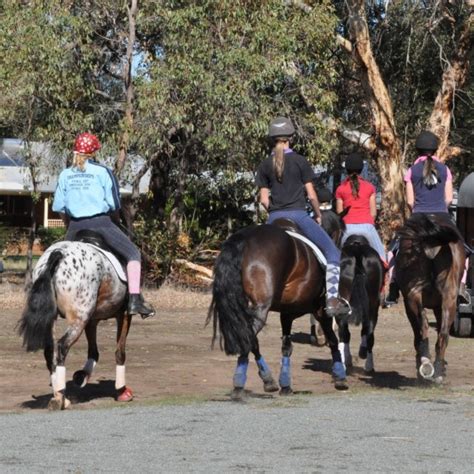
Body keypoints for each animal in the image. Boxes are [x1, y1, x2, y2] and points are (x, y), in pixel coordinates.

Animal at [18, 239, 135, 410]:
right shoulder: (124, 315)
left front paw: (82, 376)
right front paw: (122, 391)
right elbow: (120, 352)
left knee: (50, 350)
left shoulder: (92, 320)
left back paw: (59, 397)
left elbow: (94, 352)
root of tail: (57, 254)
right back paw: (60, 399)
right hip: (78, 319)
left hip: (56, 319)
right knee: (62, 346)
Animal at [336, 233, 386, 374]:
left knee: (344, 331)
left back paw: (344, 363)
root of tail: (357, 251)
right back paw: (369, 364)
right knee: (369, 330)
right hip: (373, 301)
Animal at [394, 213, 464, 384]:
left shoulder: (409, 305)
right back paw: (437, 369)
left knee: (423, 327)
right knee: (442, 335)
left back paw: (425, 362)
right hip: (449, 301)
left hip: (414, 297)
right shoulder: (440, 306)